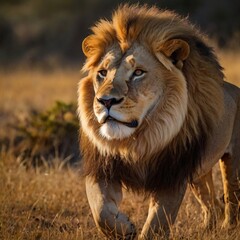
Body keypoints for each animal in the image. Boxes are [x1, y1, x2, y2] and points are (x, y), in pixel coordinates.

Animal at [78, 4, 240, 239]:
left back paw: (229, 227)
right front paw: (124, 228)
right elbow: (99, 209)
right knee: (210, 202)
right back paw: (208, 228)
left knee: (231, 194)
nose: (106, 101)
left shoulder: (172, 174)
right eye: (102, 72)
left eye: (138, 72)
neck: (138, 140)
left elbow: (157, 222)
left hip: (232, 160)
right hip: (198, 172)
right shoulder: (102, 166)